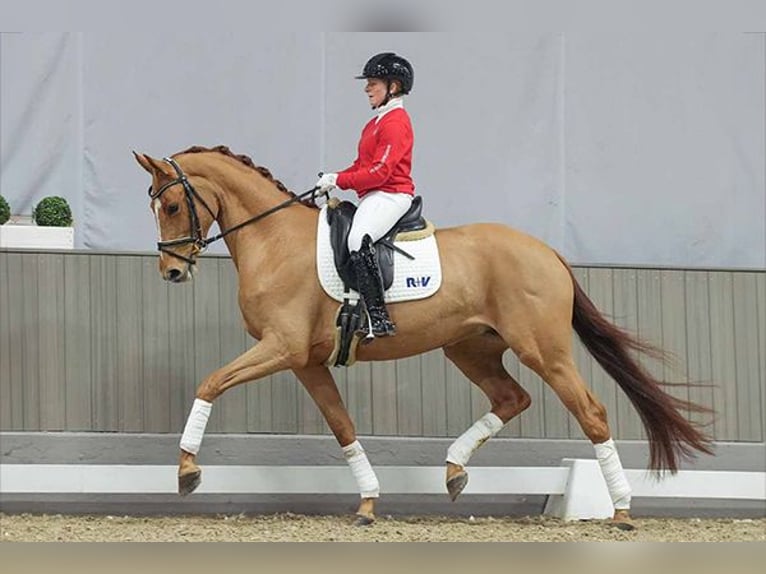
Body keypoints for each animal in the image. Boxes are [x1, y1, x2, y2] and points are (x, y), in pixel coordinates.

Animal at [134, 145, 712, 532]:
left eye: (172, 207)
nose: (171, 272)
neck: (273, 240)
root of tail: (547, 251)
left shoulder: (282, 348)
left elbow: (211, 381)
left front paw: (187, 470)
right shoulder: (306, 362)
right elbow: (342, 426)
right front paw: (368, 502)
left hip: (542, 350)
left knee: (590, 411)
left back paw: (622, 510)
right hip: (470, 347)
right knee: (512, 398)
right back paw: (454, 471)